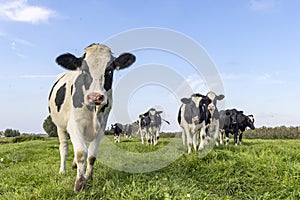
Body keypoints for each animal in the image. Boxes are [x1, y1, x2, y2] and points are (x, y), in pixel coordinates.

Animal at [48, 43, 136, 192]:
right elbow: (81, 153)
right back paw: (62, 170)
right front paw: (80, 184)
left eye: (109, 70)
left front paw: (88, 176)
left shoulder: (102, 127)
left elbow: (92, 154)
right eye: (84, 71)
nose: (95, 97)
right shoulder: (74, 124)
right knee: (64, 147)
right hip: (60, 126)